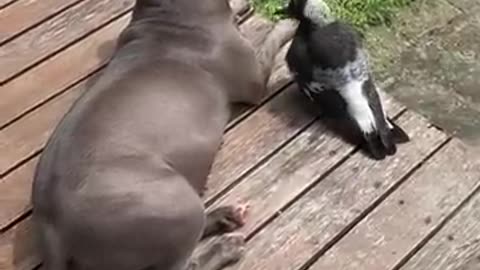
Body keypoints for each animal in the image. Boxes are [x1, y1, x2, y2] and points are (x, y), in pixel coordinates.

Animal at [31, 0, 294, 270]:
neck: (168, 13)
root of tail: (53, 224)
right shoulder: (255, 80)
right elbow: (271, 41)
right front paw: (290, 24)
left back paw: (226, 216)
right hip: (174, 202)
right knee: (185, 263)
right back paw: (226, 247)